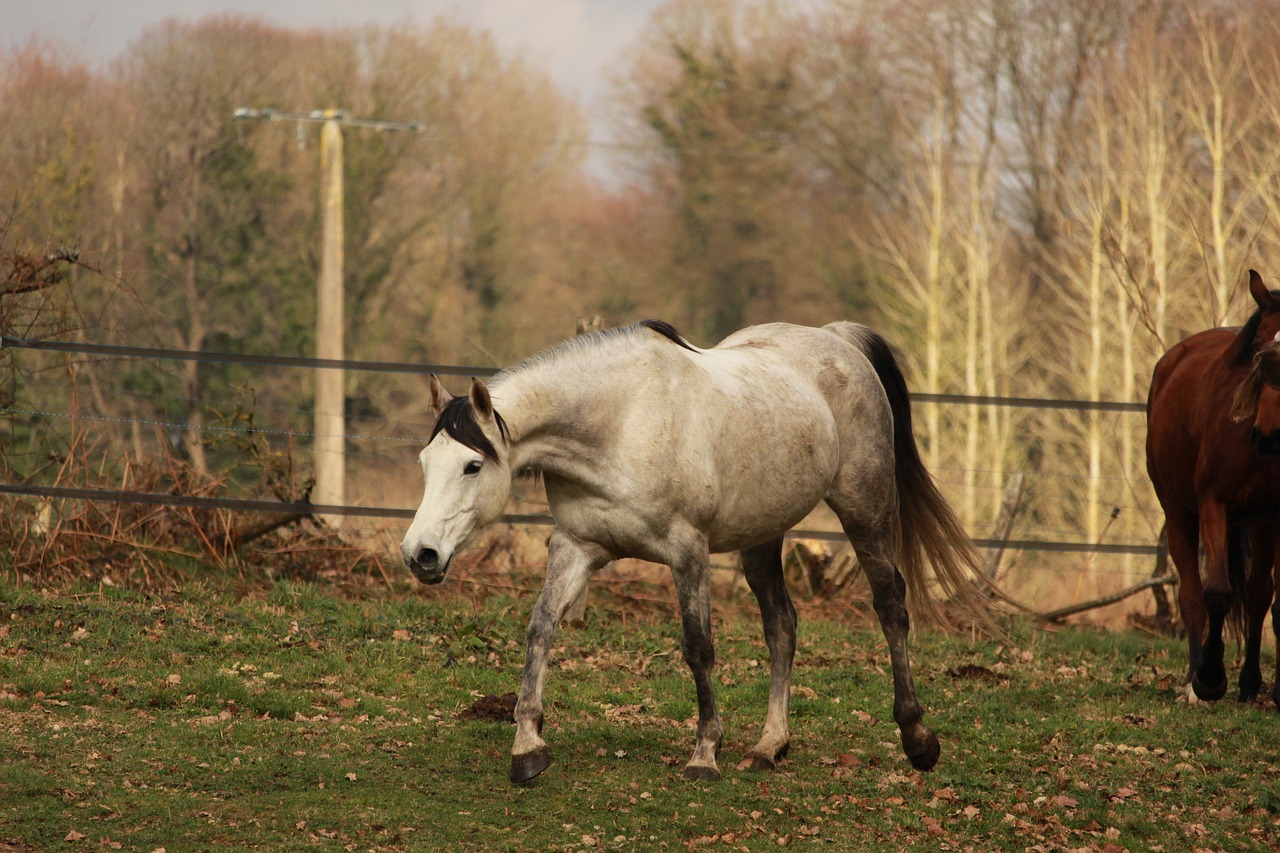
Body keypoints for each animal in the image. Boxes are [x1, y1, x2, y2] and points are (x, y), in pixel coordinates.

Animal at [399, 317, 988, 778]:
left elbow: (698, 647)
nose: (419, 555)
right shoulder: (575, 545)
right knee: (782, 625)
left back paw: (917, 739)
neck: (620, 424)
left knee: (890, 606)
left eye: (473, 465)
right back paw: (769, 746)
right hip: (762, 535)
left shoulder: (687, 551)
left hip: (865, 511)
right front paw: (527, 746)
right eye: (425, 462)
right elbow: (540, 628)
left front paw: (705, 753)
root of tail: (837, 338)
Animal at [1152, 268, 1280, 706]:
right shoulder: (1214, 506)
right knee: (1191, 596)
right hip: (1178, 513)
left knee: (1255, 596)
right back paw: (1193, 680)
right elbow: (1218, 594)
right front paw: (1210, 677)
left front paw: (1258, 685)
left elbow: (1266, 600)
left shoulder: (1272, 518)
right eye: (1257, 345)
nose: (1268, 436)